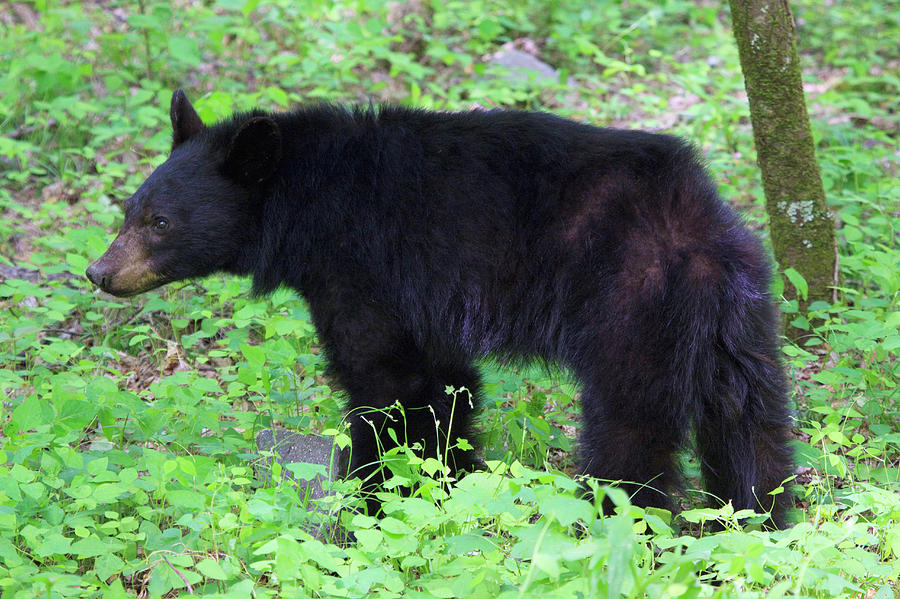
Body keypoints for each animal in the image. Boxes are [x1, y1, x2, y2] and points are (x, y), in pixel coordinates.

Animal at [89, 90, 796, 528]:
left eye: (159, 222)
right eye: (129, 209)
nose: (98, 273)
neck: (309, 200)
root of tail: (699, 221)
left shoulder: (364, 271)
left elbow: (387, 386)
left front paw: (374, 501)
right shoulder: (426, 301)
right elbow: (446, 387)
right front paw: (447, 489)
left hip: (634, 306)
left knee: (631, 433)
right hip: (740, 323)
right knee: (751, 428)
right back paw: (754, 524)